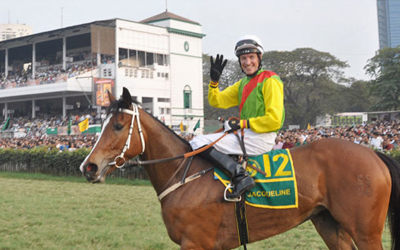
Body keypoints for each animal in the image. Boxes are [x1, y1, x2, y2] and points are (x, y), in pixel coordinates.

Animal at [79, 87, 400, 249]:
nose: (89, 166)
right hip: (328, 223)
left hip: (365, 231)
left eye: (118, 126)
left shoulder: (196, 243)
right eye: (102, 124)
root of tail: (374, 155)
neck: (184, 175)